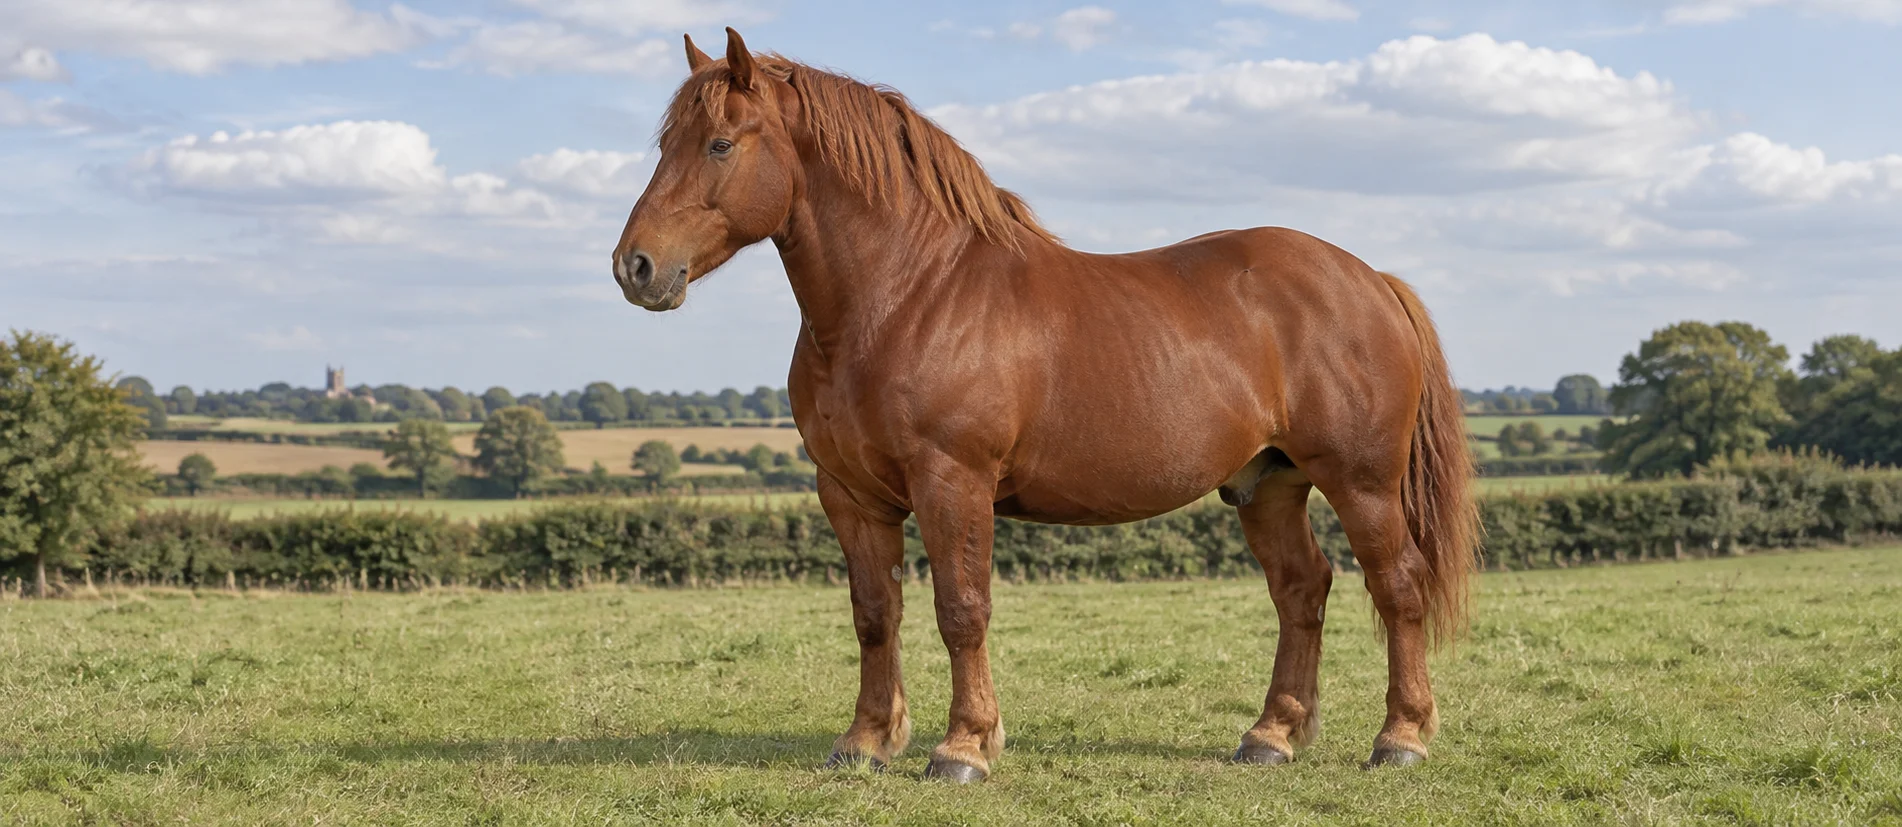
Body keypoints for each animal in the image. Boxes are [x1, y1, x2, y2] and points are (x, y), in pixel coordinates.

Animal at [612, 28, 1479, 783]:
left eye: (721, 145)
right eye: (665, 146)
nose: (635, 266)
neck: (907, 295)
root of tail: (1371, 280)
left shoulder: (952, 482)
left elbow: (961, 609)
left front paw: (963, 746)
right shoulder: (850, 494)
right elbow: (874, 612)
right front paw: (865, 742)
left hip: (1360, 482)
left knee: (1397, 584)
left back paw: (1400, 737)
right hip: (1268, 484)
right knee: (1302, 589)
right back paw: (1271, 735)